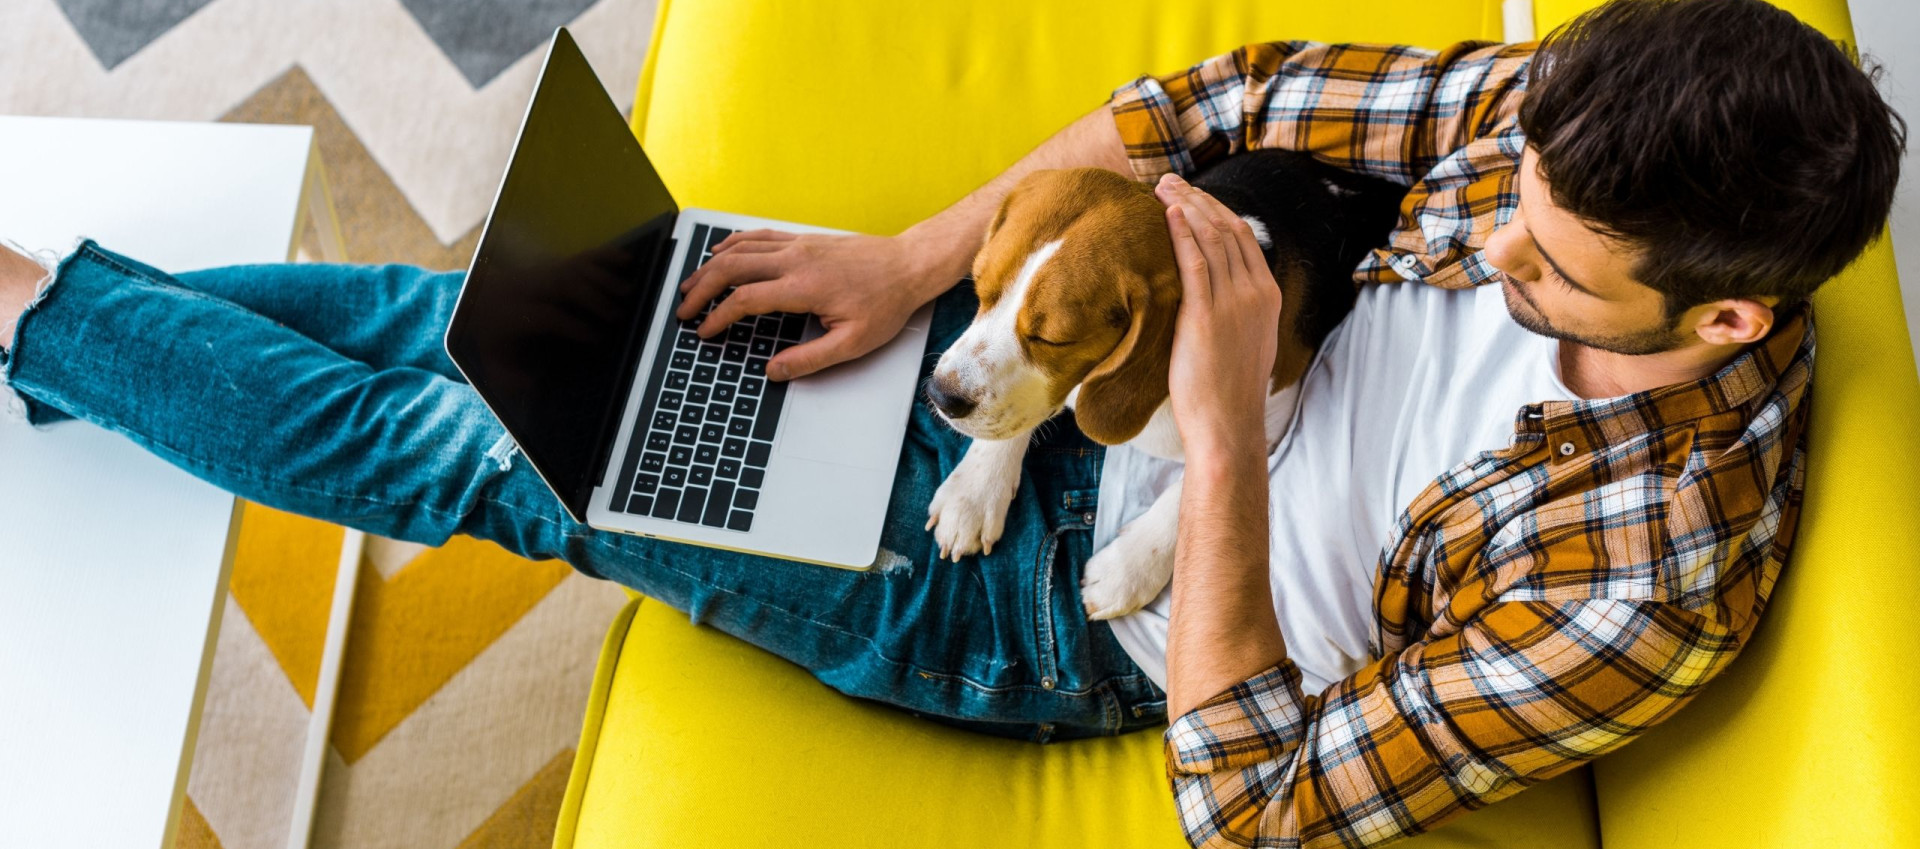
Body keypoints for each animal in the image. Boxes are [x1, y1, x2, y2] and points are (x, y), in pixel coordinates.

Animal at [921, 147, 1405, 618]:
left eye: (1053, 339)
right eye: (979, 289)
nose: (940, 395)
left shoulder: (1271, 417)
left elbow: (1187, 487)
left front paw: (1126, 568)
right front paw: (975, 490)